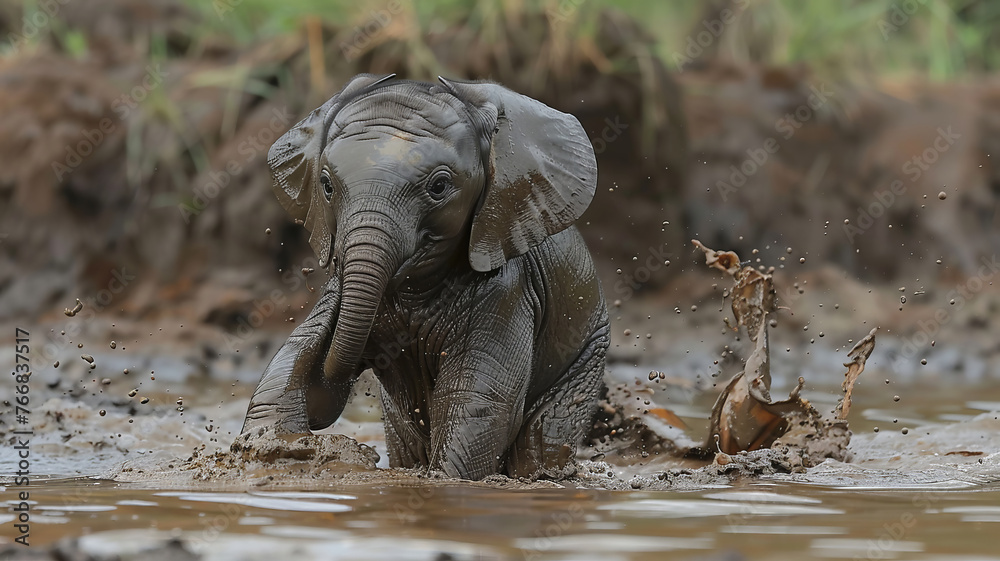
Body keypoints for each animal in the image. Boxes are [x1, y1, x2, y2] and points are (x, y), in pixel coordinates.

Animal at [241, 73, 610, 480]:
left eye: (439, 187)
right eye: (326, 185)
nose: (332, 267)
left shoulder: (507, 289)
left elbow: (478, 401)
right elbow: (290, 366)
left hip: (587, 357)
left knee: (540, 440)